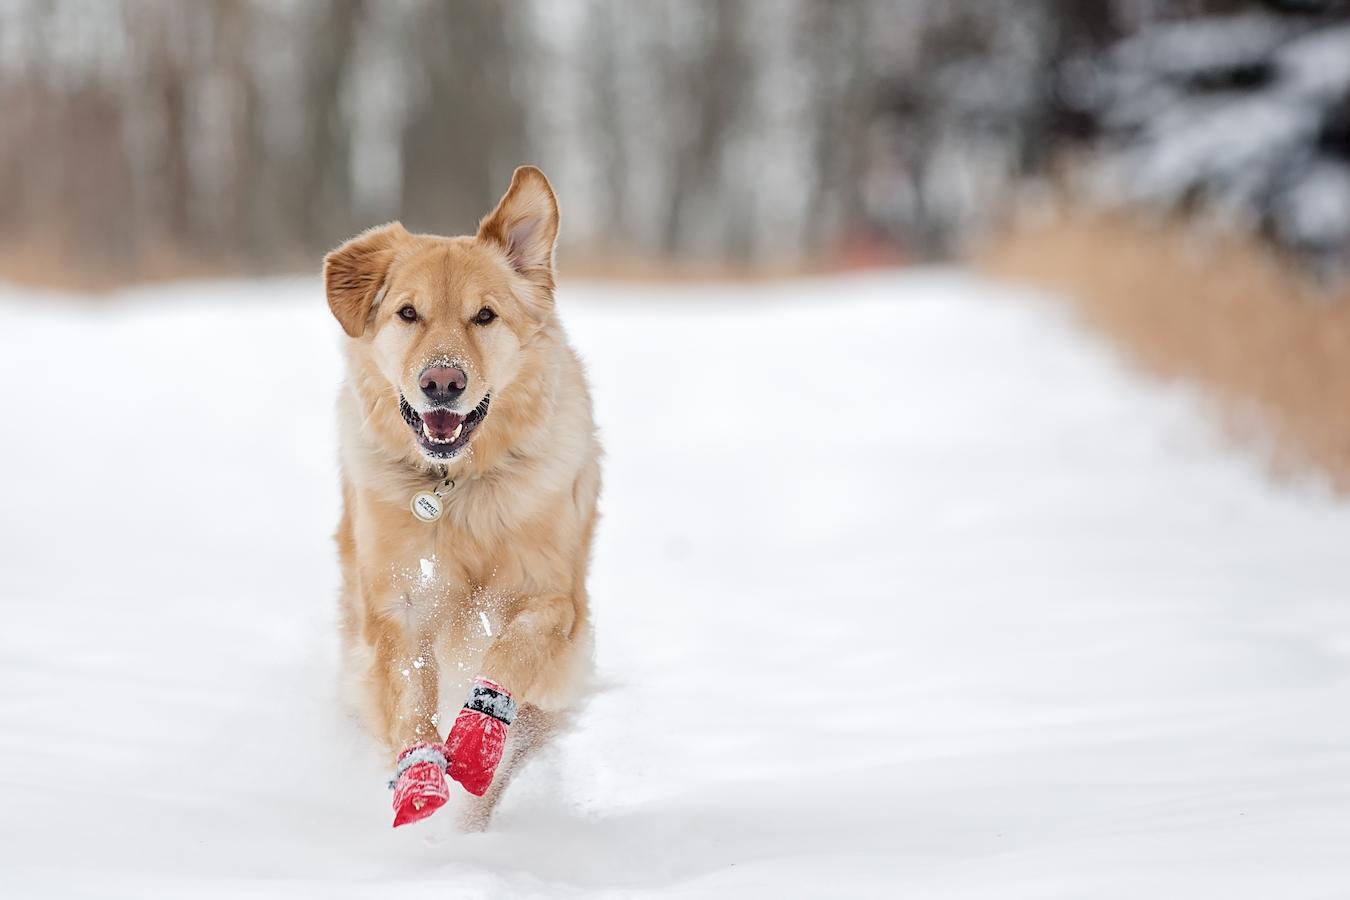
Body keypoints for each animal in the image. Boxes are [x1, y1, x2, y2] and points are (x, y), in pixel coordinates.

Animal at [324, 168, 599, 831]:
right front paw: (420, 776)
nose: (442, 382)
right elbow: (407, 690)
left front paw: (475, 743)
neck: (458, 488)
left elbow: (508, 655)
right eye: (408, 313)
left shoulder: (552, 600)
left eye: (484, 316)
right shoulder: (397, 602)